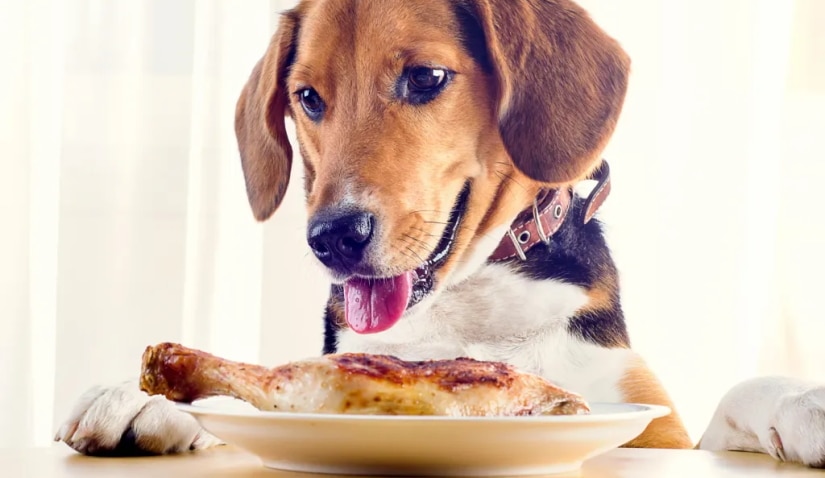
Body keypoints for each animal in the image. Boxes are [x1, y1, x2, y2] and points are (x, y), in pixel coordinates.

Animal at [56, 0, 824, 466]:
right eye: (307, 98)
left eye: (425, 77)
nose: (332, 237)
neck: (469, 304)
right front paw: (138, 397)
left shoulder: (655, 428)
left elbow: (734, 395)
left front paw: (803, 404)